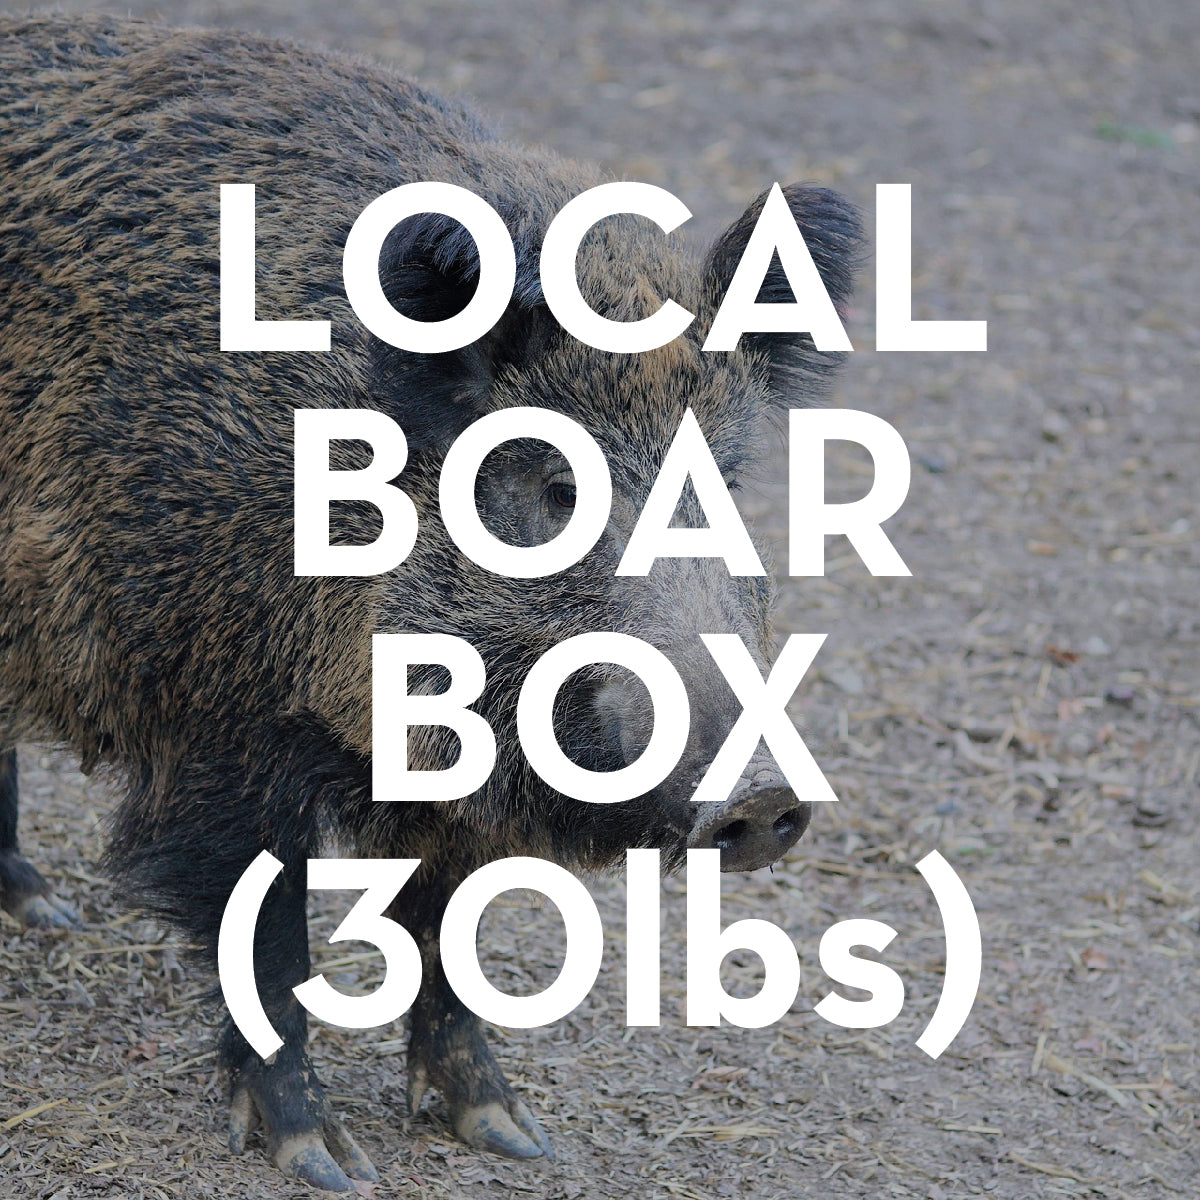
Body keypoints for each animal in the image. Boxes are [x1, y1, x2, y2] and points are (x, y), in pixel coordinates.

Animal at [0, 14, 862, 1191]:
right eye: (551, 484)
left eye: (727, 479)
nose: (766, 797)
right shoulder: (217, 723)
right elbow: (269, 941)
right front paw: (325, 1162)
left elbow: (451, 936)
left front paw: (509, 1134)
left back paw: (42, 909)